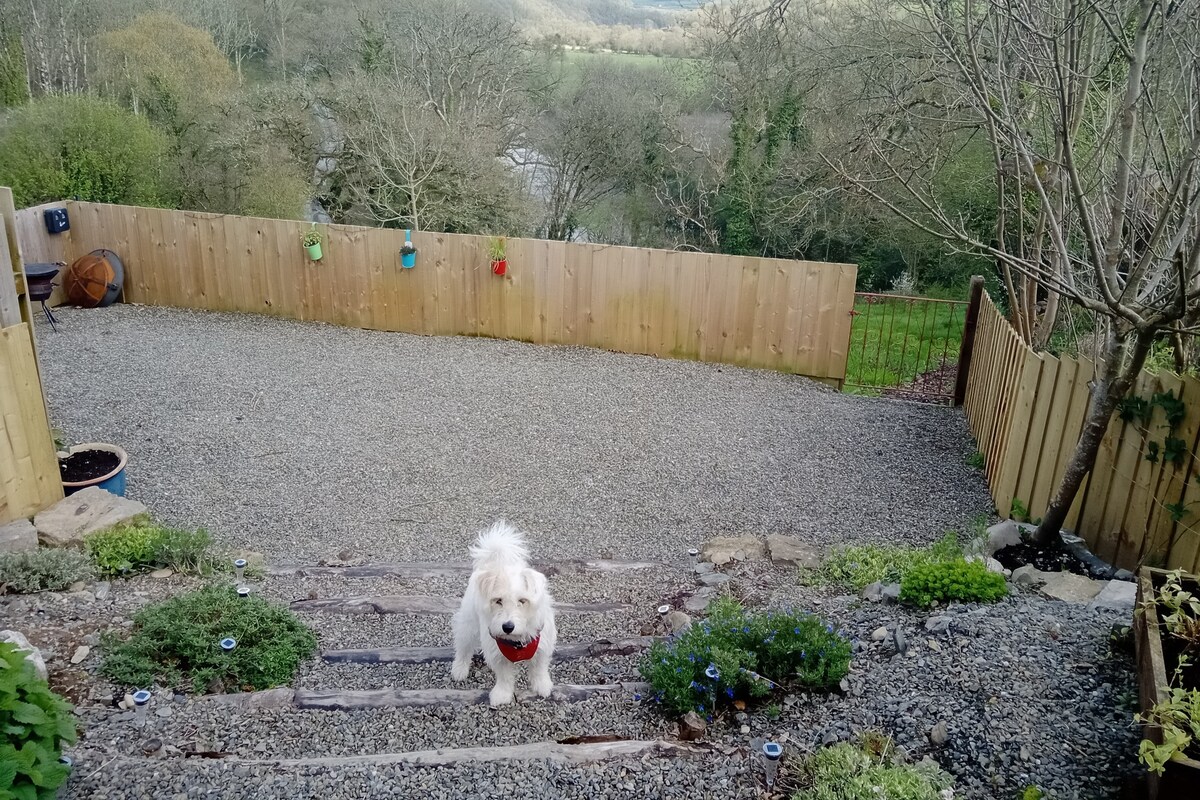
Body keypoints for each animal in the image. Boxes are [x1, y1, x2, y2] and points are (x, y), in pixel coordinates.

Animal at [451, 522, 556, 705]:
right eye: (498, 600)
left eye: (522, 601)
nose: (507, 627)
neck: (517, 642)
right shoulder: (497, 652)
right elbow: (504, 677)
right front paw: (502, 695)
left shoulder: (543, 643)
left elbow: (539, 668)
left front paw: (542, 686)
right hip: (468, 624)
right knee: (463, 646)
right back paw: (459, 668)